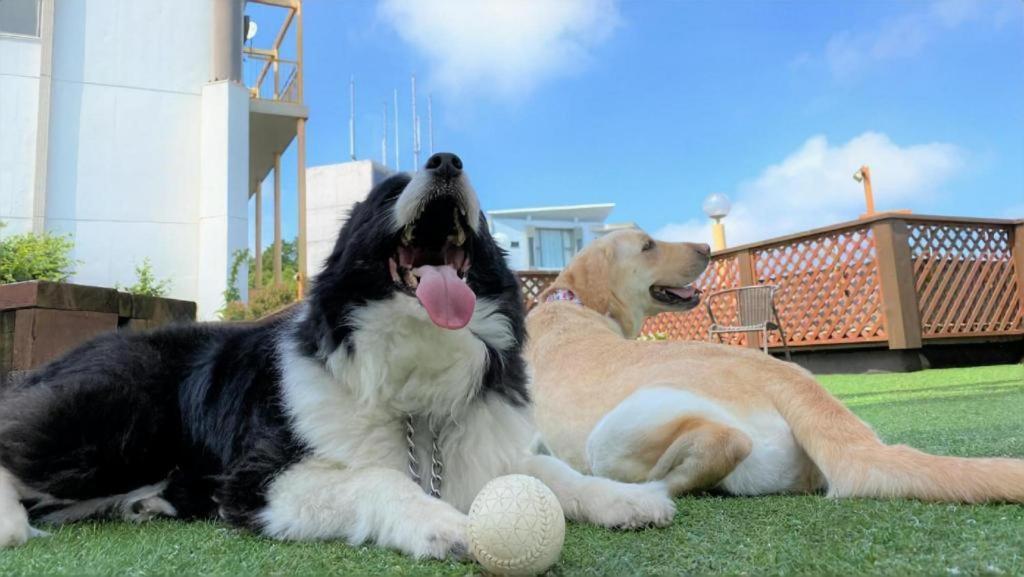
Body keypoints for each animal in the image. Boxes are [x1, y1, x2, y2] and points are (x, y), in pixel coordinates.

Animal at [0, 153, 675, 553]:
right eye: (389, 192)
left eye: (478, 203)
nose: (446, 160)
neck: (414, 372)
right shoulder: (260, 481)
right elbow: (378, 478)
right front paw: (445, 524)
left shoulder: (483, 448)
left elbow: (553, 471)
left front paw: (626, 499)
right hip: (120, 414)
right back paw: (12, 524)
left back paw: (145, 502)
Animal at [528, 229, 1024, 502]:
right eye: (648, 245)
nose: (706, 246)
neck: (571, 302)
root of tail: (789, 378)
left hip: (612, 433)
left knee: (724, 443)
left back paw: (653, 486)